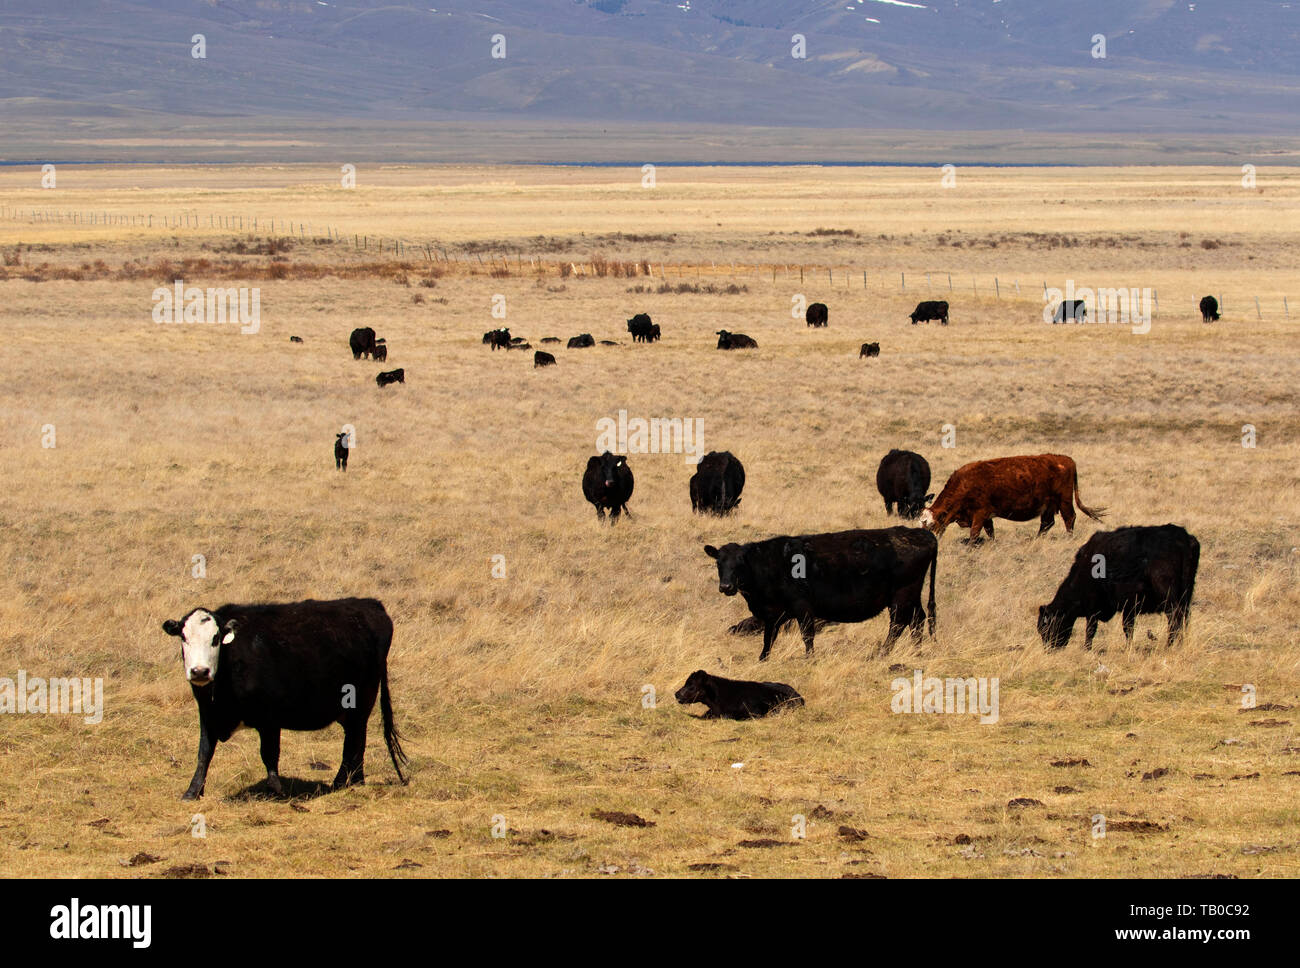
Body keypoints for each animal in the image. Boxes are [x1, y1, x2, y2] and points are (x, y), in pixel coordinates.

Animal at [160, 600, 408, 795]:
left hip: (363, 699)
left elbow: (269, 753)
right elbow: (204, 752)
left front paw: (275, 790)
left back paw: (341, 782)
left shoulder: (269, 717)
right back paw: (355, 780)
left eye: (215, 638)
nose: (199, 671)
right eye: (184, 637)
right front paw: (192, 791)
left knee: (355, 740)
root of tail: (371, 604)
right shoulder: (208, 713)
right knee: (357, 739)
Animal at [707, 524, 941, 660]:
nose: (726, 587)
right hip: (913, 595)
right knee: (917, 620)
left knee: (898, 624)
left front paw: (809, 658)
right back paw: (916, 651)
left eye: (740, 563)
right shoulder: (773, 613)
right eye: (718, 562)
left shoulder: (802, 607)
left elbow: (807, 635)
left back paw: (882, 654)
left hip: (901, 595)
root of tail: (920, 533)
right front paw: (763, 659)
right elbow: (768, 638)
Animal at [915, 454, 1107, 543]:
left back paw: (1068, 538)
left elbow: (974, 533)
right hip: (1049, 505)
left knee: (1069, 518)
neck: (965, 483)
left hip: (1064, 500)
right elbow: (990, 532)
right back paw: (1036, 539)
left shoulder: (980, 513)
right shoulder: (986, 517)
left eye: (929, 524)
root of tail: (1066, 459)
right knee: (1047, 523)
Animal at [1034, 522, 1196, 649]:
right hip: (1186, 595)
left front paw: (1087, 649)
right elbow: (1128, 628)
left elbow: (1091, 630)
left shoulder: (1093, 608)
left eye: (1045, 628)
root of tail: (1182, 537)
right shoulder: (1129, 607)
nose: (1049, 650)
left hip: (1167, 595)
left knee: (1174, 616)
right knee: (1184, 617)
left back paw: (1169, 645)